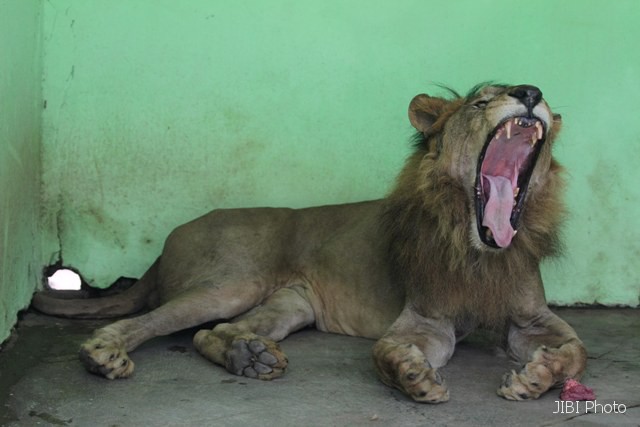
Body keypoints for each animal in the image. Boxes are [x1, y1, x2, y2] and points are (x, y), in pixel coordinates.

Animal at [33, 82, 584, 402]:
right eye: (480, 101)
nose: (531, 92)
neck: (478, 246)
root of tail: (173, 235)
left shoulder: (531, 318)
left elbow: (576, 350)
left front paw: (538, 376)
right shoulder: (425, 319)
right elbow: (390, 353)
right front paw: (409, 373)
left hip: (288, 305)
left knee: (215, 332)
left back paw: (249, 358)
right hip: (231, 284)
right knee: (147, 322)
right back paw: (103, 354)